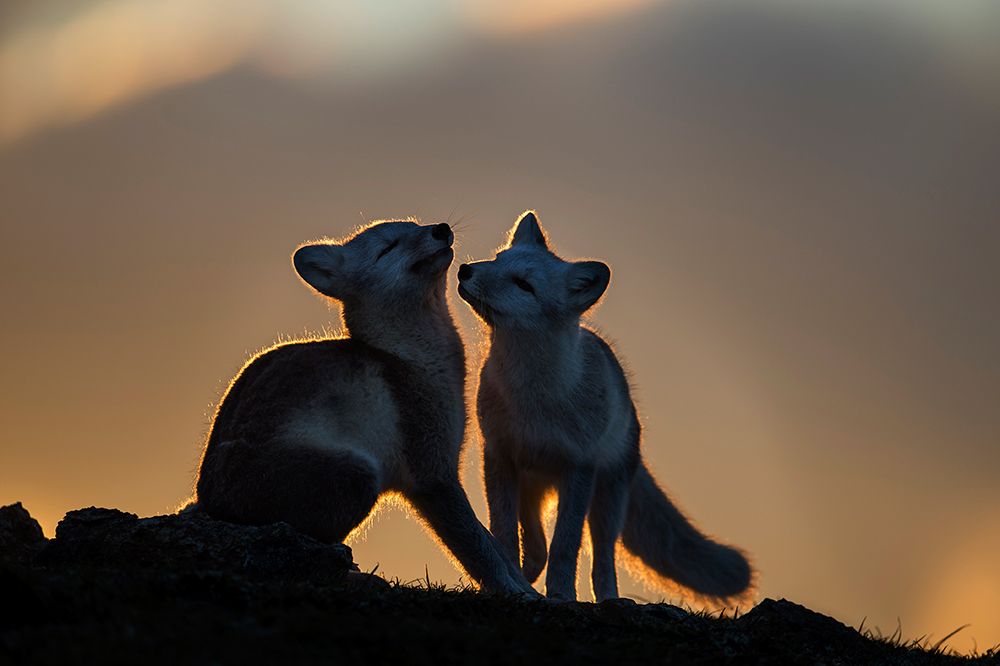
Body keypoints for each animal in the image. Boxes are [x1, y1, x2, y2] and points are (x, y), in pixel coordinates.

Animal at [194, 220, 534, 595]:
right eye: (387, 248)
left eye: (414, 224)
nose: (440, 228)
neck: (411, 359)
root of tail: (208, 500)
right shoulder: (432, 474)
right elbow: (480, 548)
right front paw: (516, 592)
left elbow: (496, 547)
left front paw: (534, 591)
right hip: (359, 474)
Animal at [456, 211, 753, 602]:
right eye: (497, 259)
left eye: (524, 284)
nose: (464, 270)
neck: (533, 398)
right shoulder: (499, 456)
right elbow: (503, 532)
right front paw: (508, 582)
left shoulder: (578, 466)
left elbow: (566, 546)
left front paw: (562, 595)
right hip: (531, 487)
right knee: (535, 546)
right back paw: (526, 575)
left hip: (605, 500)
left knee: (601, 557)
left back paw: (608, 597)